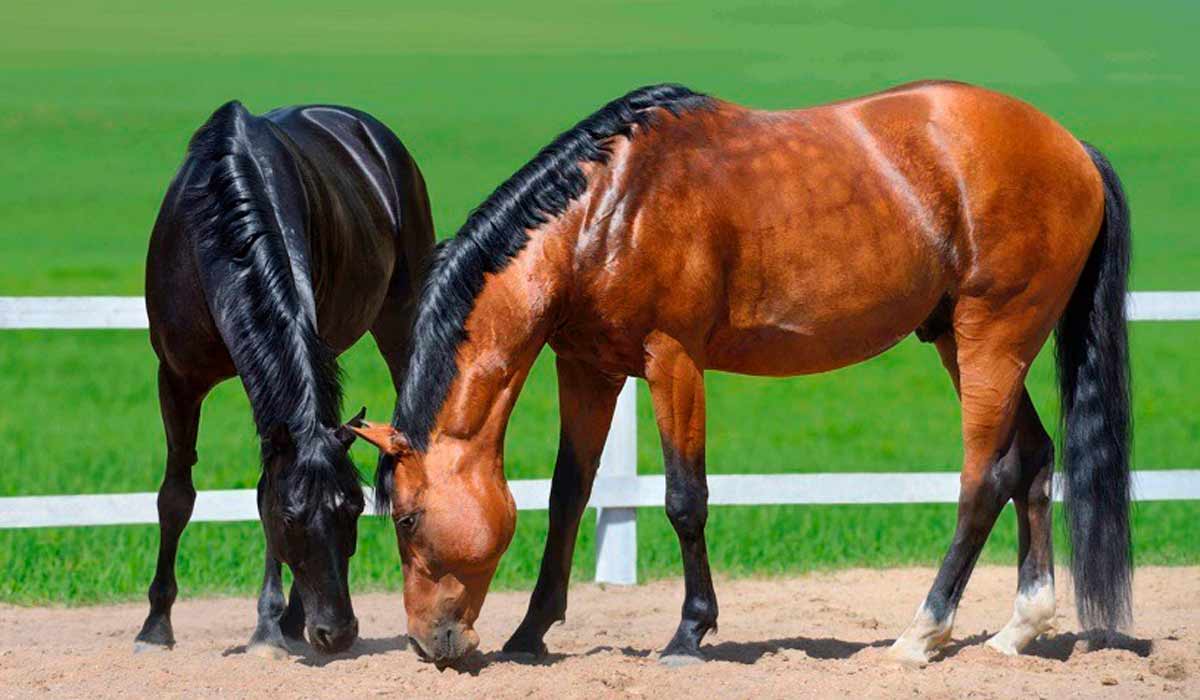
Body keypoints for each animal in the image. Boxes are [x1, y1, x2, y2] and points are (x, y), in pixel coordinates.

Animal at [137, 102, 436, 657]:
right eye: (291, 517)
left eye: (354, 510)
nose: (338, 633)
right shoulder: (177, 378)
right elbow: (176, 496)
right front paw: (155, 628)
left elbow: (260, 488)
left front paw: (269, 627)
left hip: (398, 322)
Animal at [350, 82, 1128, 667]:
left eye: (408, 518)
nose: (427, 645)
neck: (606, 209)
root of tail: (1074, 148)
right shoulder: (588, 368)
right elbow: (569, 495)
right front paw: (531, 632)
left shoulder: (673, 360)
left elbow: (684, 498)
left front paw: (689, 632)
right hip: (962, 345)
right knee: (1032, 460)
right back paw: (1019, 628)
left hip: (992, 341)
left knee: (982, 479)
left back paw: (921, 633)